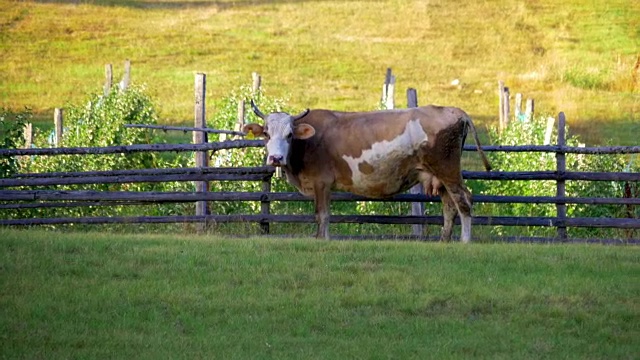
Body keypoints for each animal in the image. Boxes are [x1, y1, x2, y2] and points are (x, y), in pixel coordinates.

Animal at [244, 100, 490, 243]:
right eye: (266, 133)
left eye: (289, 135)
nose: (276, 158)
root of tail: (454, 110)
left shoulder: (321, 182)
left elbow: (322, 215)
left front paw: (322, 240)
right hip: (438, 175)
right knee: (449, 206)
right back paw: (444, 242)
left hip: (448, 169)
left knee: (464, 201)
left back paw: (465, 241)